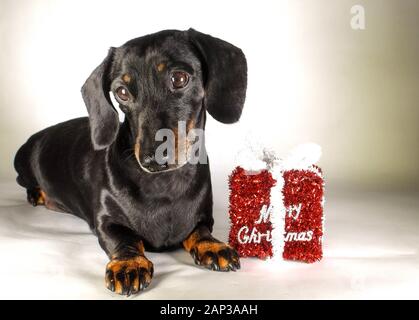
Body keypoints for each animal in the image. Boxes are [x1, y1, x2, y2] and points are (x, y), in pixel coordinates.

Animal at [14, 28, 248, 296]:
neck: (164, 185)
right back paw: (38, 194)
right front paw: (129, 264)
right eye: (122, 92)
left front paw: (211, 245)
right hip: (21, 164)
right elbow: (125, 239)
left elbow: (200, 230)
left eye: (179, 78)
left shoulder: (203, 217)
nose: (151, 158)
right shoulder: (106, 222)